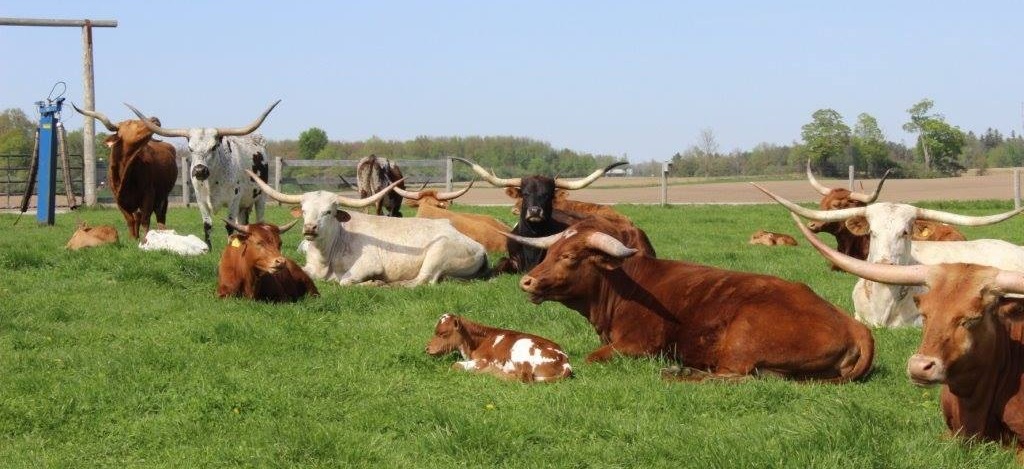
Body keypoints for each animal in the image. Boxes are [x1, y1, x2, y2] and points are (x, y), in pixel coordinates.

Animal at [72, 105, 177, 239]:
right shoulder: (119, 200)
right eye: (130, 122)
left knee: (160, 215)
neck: (125, 171)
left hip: (163, 196)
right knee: (138, 217)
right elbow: (130, 220)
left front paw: (145, 239)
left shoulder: (148, 194)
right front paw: (133, 239)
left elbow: (145, 219)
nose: (155, 119)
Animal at [125, 101, 280, 248]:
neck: (213, 182)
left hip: (260, 197)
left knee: (259, 220)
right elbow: (207, 224)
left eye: (213, 147)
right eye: (190, 148)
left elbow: (229, 226)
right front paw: (209, 248)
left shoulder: (233, 200)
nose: (199, 170)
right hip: (243, 205)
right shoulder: (201, 200)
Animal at [248, 170, 489, 286]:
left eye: (329, 212)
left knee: (422, 281)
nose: (310, 228)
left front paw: (373, 282)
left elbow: (345, 281)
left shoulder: (368, 265)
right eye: (305, 211)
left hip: (438, 254)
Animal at [425, 313, 573, 383]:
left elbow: (455, 365)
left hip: (521, 348)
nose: (426, 348)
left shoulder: (483, 360)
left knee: (524, 379)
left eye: (443, 333)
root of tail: (565, 360)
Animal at [507, 217, 874, 382]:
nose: (527, 281)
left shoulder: (637, 346)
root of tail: (855, 326)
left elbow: (591, 358)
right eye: (549, 251)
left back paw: (678, 371)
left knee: (735, 377)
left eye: (569, 256)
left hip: (742, 340)